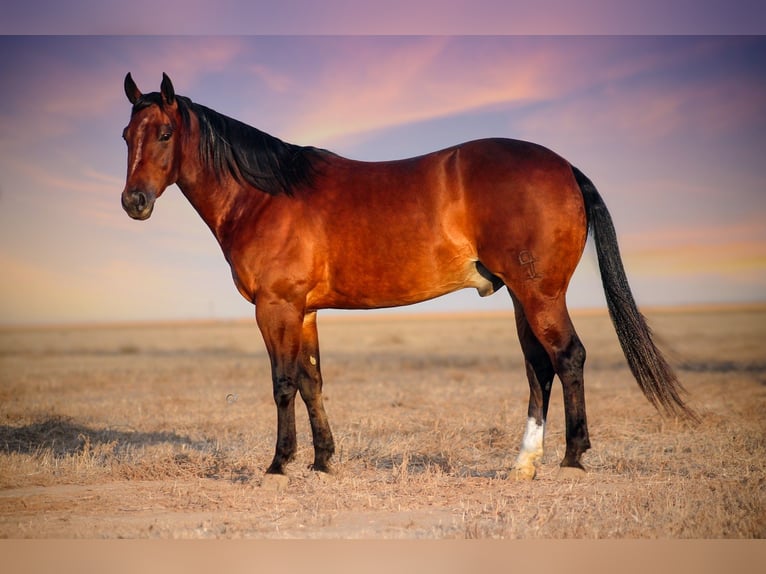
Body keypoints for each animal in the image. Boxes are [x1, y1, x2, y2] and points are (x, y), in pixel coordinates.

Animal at [120, 73, 697, 486]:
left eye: (165, 133)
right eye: (127, 135)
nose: (134, 202)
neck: (264, 196)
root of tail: (564, 167)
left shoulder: (276, 307)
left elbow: (283, 383)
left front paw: (279, 464)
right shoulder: (304, 311)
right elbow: (311, 382)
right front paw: (322, 462)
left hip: (540, 294)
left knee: (568, 357)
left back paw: (573, 458)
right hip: (523, 297)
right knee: (540, 367)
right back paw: (523, 463)